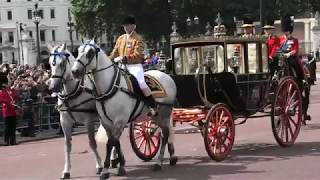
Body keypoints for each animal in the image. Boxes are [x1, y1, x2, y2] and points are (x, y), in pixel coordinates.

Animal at [47, 43, 103, 179]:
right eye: (50, 63)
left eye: (62, 63)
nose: (53, 87)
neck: (72, 92)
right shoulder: (65, 122)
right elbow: (67, 146)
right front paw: (66, 170)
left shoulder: (89, 120)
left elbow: (92, 143)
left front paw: (99, 166)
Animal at [70, 40, 179, 179]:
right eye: (78, 51)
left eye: (90, 53)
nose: (74, 71)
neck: (109, 87)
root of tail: (166, 75)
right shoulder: (107, 123)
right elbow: (115, 142)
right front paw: (119, 165)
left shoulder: (120, 120)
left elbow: (110, 143)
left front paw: (106, 170)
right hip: (156, 116)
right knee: (164, 132)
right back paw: (170, 157)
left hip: (164, 114)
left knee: (165, 134)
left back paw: (159, 162)